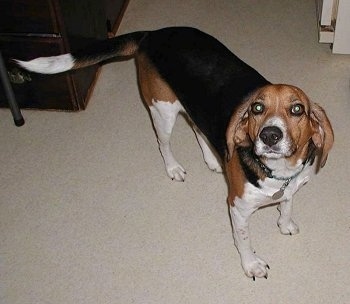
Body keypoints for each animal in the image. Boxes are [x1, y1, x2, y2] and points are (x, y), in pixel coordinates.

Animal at [15, 26, 334, 280]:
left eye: (297, 109)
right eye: (257, 108)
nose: (270, 135)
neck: (278, 171)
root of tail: (153, 33)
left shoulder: (292, 185)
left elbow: (288, 203)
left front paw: (285, 223)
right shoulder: (237, 208)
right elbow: (243, 239)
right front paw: (251, 264)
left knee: (195, 126)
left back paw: (211, 159)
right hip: (162, 110)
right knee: (163, 143)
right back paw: (173, 168)